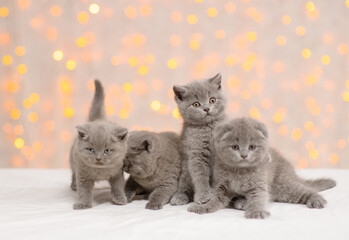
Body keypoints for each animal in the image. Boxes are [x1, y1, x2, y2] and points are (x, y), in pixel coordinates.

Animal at [69, 79, 128, 209]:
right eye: (91, 149)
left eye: (107, 150)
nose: (98, 158)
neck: (100, 171)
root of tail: (96, 119)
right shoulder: (83, 174)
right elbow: (84, 191)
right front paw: (83, 204)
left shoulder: (117, 172)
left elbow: (118, 186)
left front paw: (120, 199)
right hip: (73, 161)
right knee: (73, 173)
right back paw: (74, 186)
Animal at [169, 73, 226, 206]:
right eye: (196, 104)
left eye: (212, 100)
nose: (206, 109)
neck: (208, 129)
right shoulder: (196, 154)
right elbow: (200, 176)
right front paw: (203, 195)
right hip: (185, 167)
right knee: (183, 184)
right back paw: (179, 197)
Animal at [189, 117, 336, 218]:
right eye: (235, 147)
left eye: (251, 147)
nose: (244, 155)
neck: (239, 172)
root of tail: (291, 171)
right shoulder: (222, 187)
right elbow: (215, 200)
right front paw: (201, 207)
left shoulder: (258, 185)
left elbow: (258, 198)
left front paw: (256, 212)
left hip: (282, 185)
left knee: (305, 190)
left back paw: (317, 200)